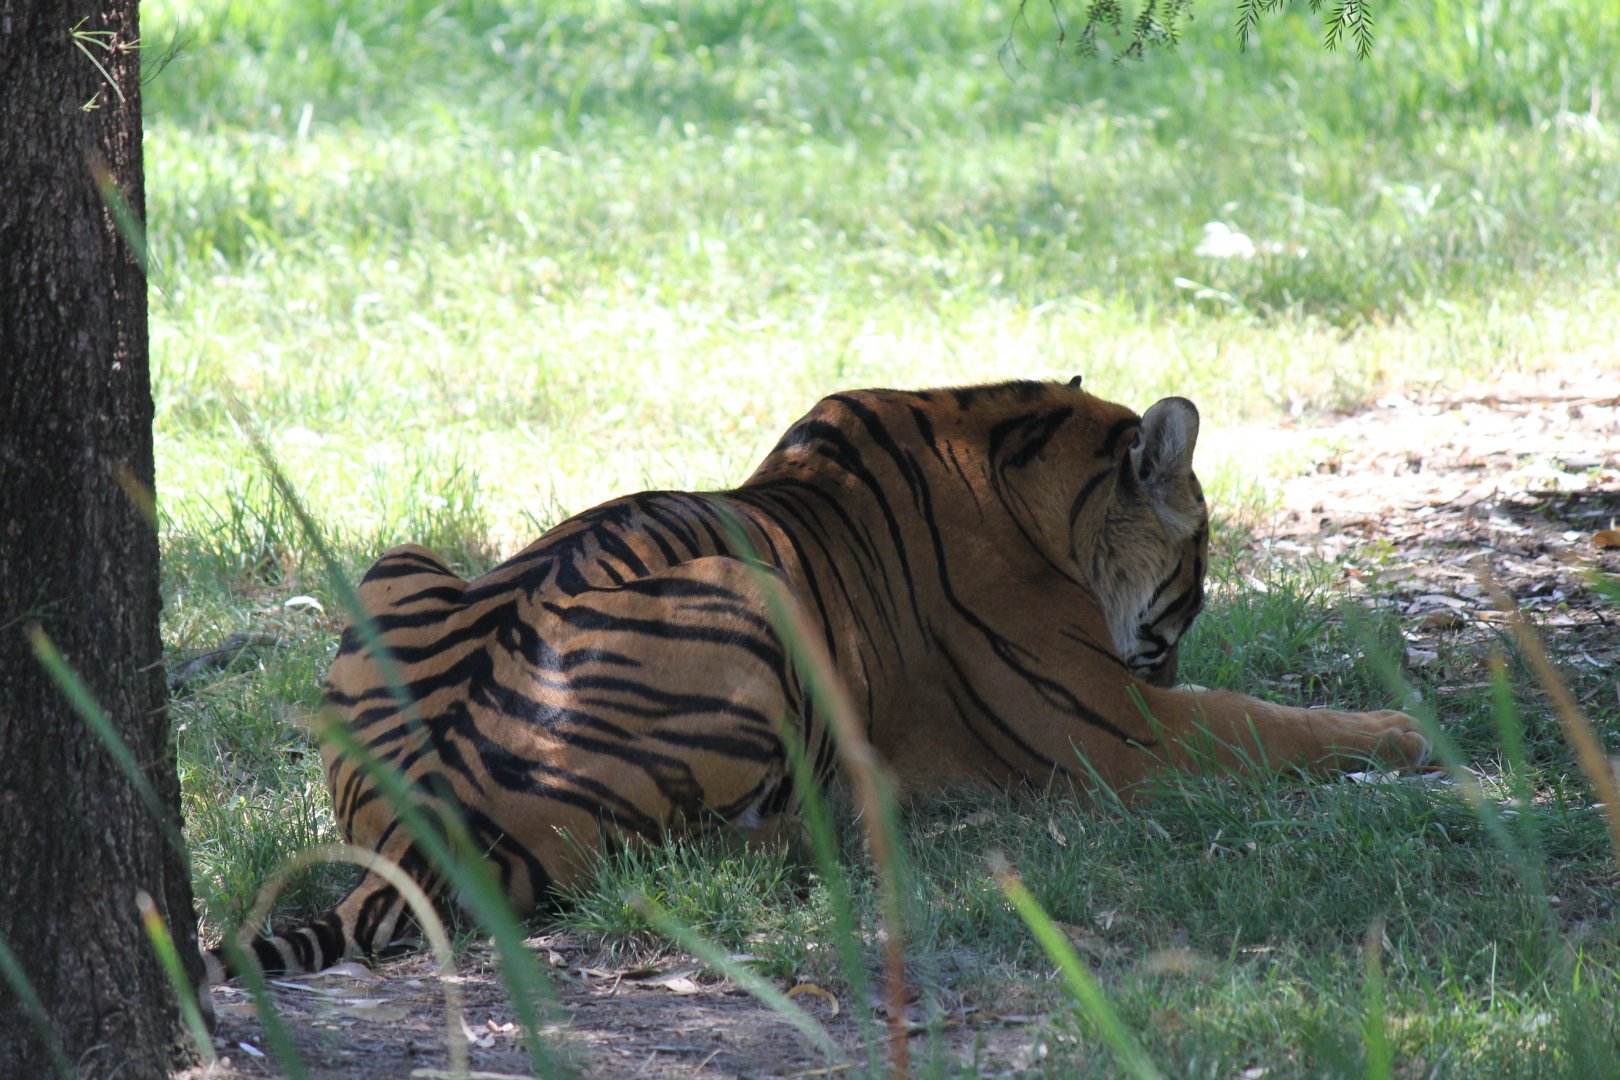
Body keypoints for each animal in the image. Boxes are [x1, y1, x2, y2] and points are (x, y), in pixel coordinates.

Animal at [207, 377, 1427, 980]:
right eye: (1203, 552)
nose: (1175, 643)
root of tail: (410, 842)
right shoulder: (1120, 729)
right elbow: (1272, 723)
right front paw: (1410, 736)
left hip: (399, 559)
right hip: (749, 601)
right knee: (672, 857)